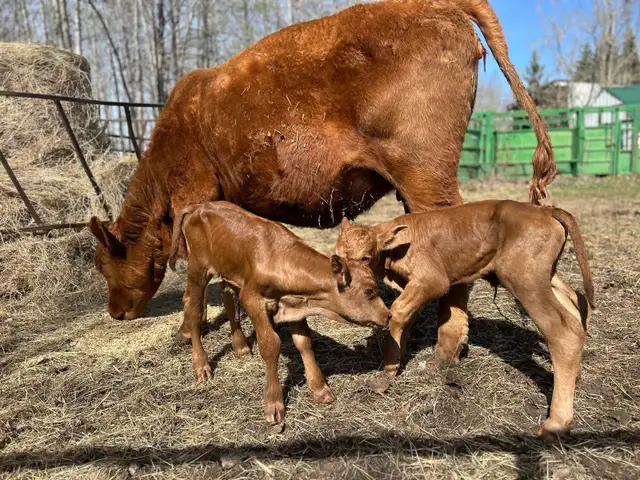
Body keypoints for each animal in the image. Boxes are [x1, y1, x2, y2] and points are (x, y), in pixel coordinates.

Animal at [89, 0, 556, 368]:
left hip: (425, 175)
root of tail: (440, 5)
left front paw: (188, 333)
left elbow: (199, 285)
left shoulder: (194, 194)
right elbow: (228, 279)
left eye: (103, 265)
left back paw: (447, 344)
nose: (114, 313)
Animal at [168, 201, 390, 424]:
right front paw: (274, 402)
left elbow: (304, 343)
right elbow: (270, 345)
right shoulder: (252, 298)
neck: (279, 259)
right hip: (198, 268)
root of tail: (199, 206)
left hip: (227, 271)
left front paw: (319, 388)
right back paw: (201, 365)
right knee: (193, 308)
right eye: (368, 291)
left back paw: (241, 347)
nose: (388, 315)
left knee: (229, 301)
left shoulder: (294, 305)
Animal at [335, 200, 594, 438]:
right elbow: (405, 317)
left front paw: (385, 376)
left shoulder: (432, 280)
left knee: (563, 330)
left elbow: (397, 311)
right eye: (336, 256)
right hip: (546, 276)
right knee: (575, 302)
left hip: (525, 280)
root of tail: (544, 209)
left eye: (365, 258)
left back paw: (556, 423)